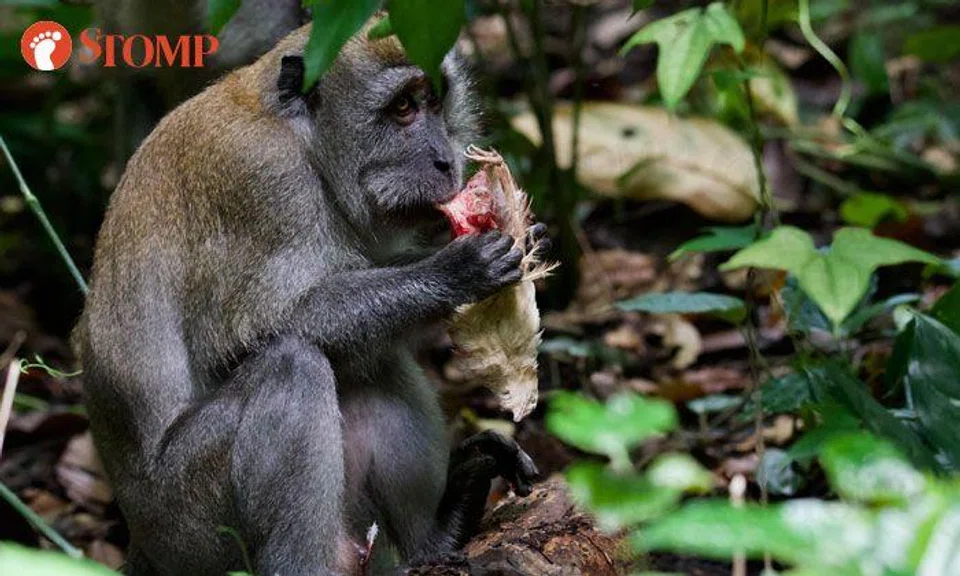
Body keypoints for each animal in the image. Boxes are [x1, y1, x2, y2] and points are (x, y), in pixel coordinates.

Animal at [72, 20, 541, 576]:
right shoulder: (263, 184)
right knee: (293, 364)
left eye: (434, 99)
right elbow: (256, 332)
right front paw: (454, 271)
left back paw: (438, 534)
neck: (303, 139)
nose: (446, 160)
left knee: (370, 367)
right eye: (403, 107)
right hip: (188, 528)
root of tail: (140, 542)